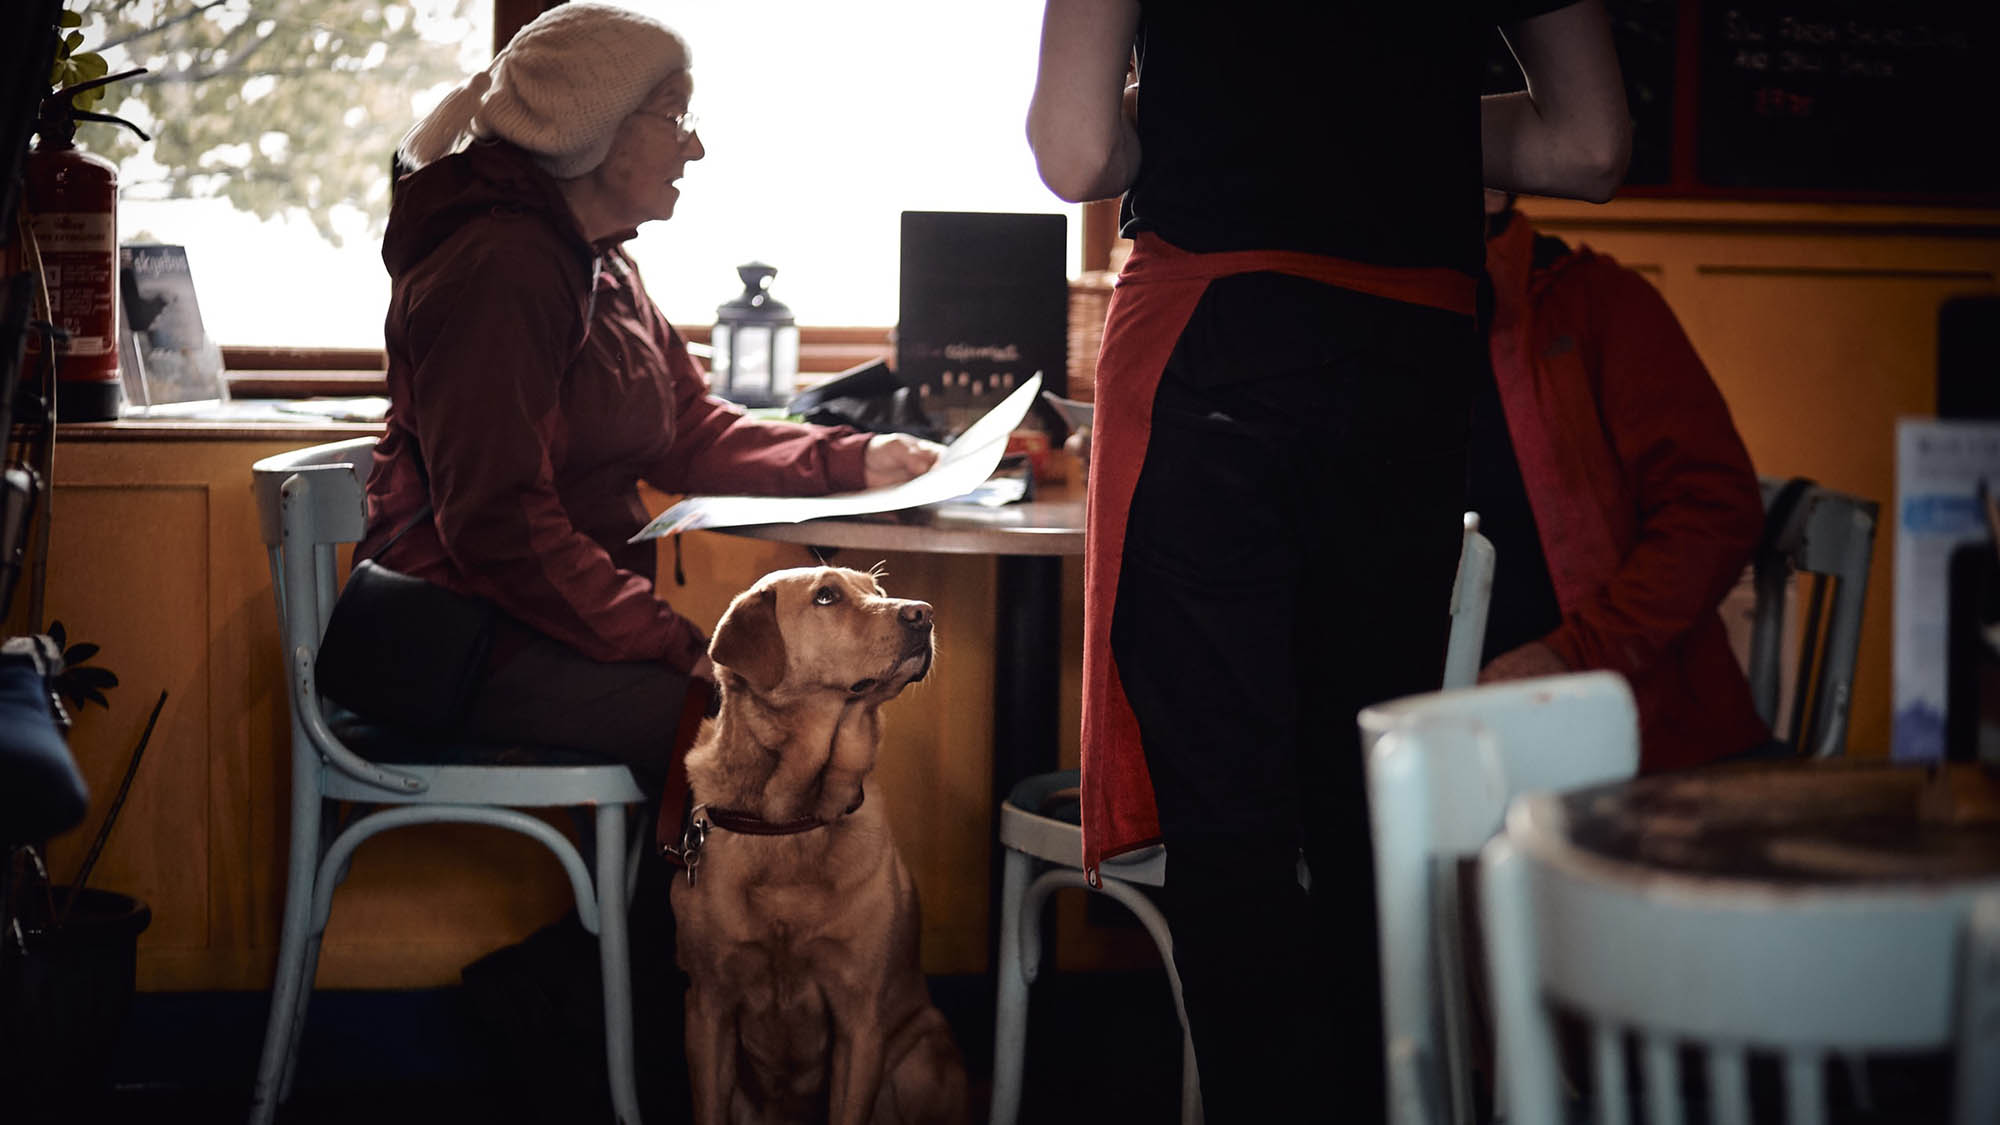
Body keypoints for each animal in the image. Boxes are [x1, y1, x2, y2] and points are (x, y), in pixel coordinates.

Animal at [672, 564, 968, 1120]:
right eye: (826, 596)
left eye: (877, 591)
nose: (924, 613)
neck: (793, 819)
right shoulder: (707, 1008)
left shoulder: (860, 1019)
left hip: (920, 1057)